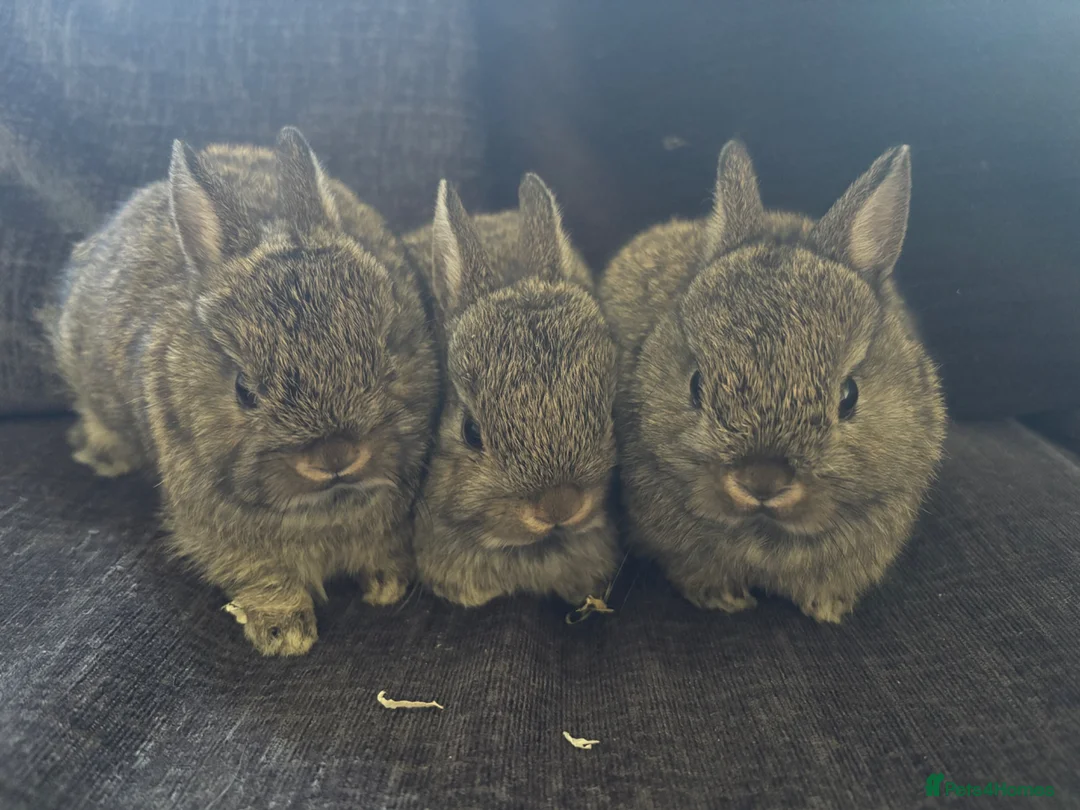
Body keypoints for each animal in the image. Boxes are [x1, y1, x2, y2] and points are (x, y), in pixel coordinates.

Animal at [41, 127, 438, 655]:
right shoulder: (220, 533)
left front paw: (386, 584)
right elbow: (263, 576)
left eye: (389, 353)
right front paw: (284, 632)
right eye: (244, 390)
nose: (335, 456)